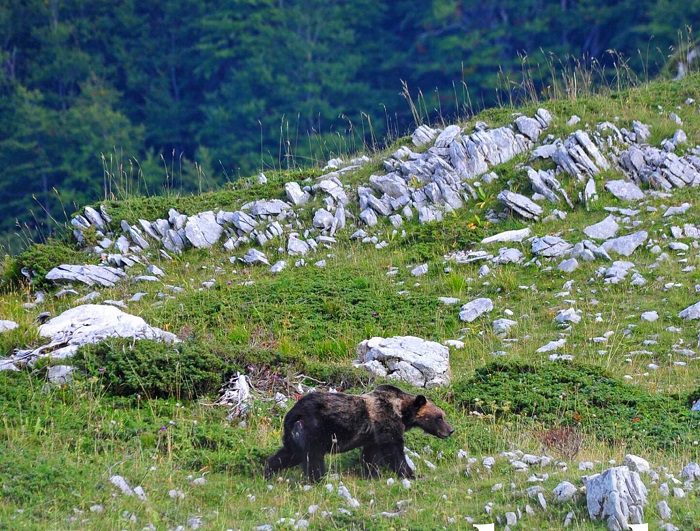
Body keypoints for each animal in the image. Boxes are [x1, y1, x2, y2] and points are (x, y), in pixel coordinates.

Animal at [264, 384, 454, 484]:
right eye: (439, 417)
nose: (451, 430)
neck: (402, 411)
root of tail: (293, 413)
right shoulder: (386, 423)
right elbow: (395, 451)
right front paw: (412, 474)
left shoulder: (373, 436)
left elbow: (371, 455)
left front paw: (372, 474)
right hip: (314, 430)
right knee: (314, 457)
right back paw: (318, 480)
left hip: (294, 435)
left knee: (288, 454)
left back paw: (268, 471)